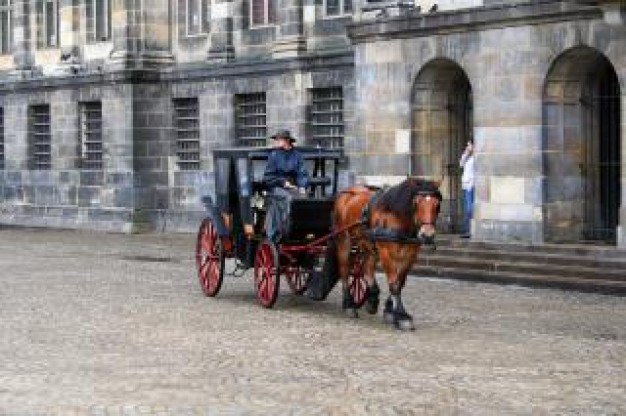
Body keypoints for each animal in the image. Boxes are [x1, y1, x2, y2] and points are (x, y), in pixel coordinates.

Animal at [330, 177, 442, 330]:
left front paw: (390, 310)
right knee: (345, 270)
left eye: (437, 204)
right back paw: (349, 305)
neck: (398, 218)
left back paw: (372, 298)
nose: (427, 235)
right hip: (344, 241)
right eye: (416, 203)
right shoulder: (386, 251)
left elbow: (400, 281)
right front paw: (401, 316)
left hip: (367, 244)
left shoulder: (411, 254)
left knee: (366, 267)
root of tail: (347, 192)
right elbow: (394, 282)